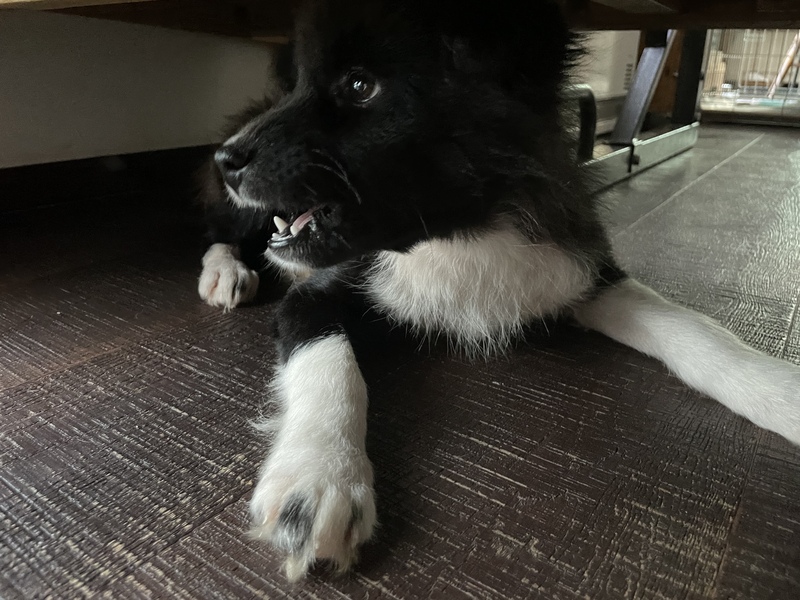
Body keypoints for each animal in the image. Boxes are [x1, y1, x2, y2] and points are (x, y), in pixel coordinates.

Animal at [197, 0, 800, 581]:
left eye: (360, 85)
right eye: (302, 83)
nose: (224, 158)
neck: (458, 232)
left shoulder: (578, 269)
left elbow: (691, 328)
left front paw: (778, 389)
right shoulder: (313, 297)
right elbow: (330, 363)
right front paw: (319, 477)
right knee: (223, 231)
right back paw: (226, 272)